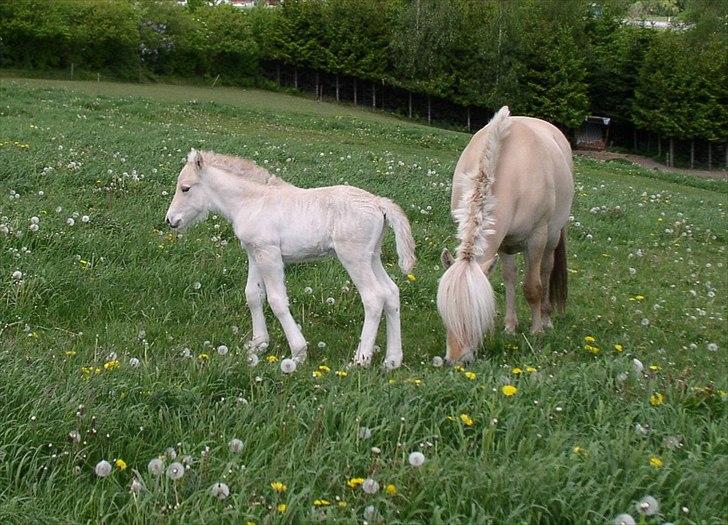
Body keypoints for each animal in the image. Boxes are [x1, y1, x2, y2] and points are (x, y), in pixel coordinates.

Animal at [165, 147, 416, 368]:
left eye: (185, 188)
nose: (170, 220)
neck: (252, 201)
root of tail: (379, 203)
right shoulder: (255, 252)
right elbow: (253, 295)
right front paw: (258, 344)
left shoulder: (270, 254)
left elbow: (277, 300)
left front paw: (298, 352)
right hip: (372, 257)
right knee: (391, 292)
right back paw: (392, 360)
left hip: (353, 257)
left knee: (374, 297)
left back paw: (360, 360)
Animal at [438, 105, 576, 362]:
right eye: (445, 312)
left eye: (475, 315)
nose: (456, 360)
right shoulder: (501, 242)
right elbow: (506, 279)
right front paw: (508, 326)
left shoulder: (536, 239)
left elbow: (533, 287)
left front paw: (536, 330)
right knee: (510, 276)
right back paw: (511, 324)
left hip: (551, 238)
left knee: (546, 270)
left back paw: (546, 319)